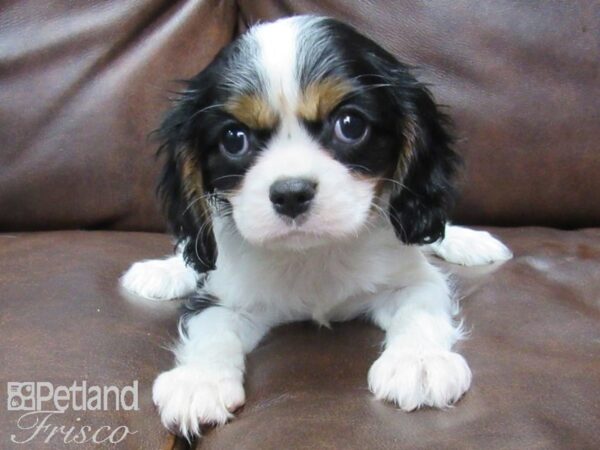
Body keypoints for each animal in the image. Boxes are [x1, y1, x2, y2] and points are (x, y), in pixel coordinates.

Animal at [120, 15, 510, 438]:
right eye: (233, 138)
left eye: (350, 125)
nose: (291, 193)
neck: (312, 252)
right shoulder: (223, 297)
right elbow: (212, 330)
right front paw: (199, 381)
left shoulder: (413, 280)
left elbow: (419, 309)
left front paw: (419, 362)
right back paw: (163, 272)